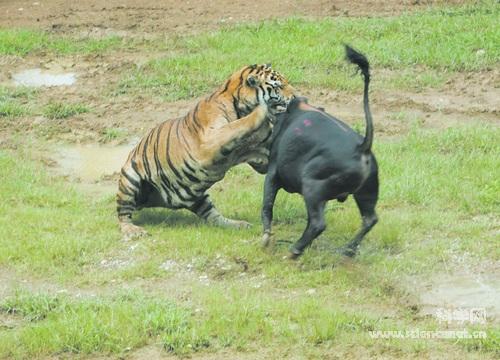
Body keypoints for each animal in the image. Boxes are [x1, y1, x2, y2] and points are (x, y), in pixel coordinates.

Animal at [116, 64, 296, 239]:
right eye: (279, 86)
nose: (295, 97)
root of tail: (157, 202)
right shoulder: (209, 140)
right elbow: (239, 125)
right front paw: (264, 111)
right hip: (130, 180)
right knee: (123, 214)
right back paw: (133, 231)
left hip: (198, 197)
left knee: (213, 216)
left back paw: (237, 224)